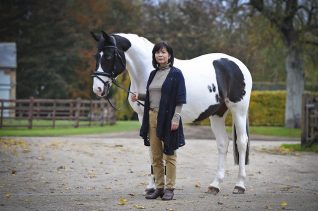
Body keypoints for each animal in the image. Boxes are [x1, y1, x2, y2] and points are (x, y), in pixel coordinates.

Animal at [90, 31, 252, 195]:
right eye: (96, 56)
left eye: (108, 57)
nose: (97, 89)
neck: (148, 71)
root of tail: (238, 64)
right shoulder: (143, 117)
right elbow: (151, 149)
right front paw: (151, 187)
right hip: (217, 114)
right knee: (223, 143)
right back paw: (215, 185)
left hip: (239, 110)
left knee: (242, 142)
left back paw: (239, 185)